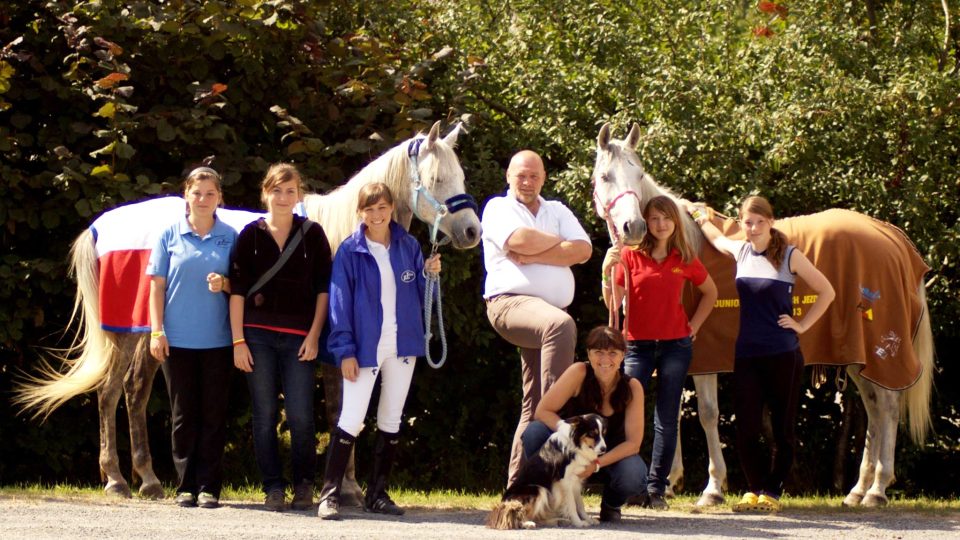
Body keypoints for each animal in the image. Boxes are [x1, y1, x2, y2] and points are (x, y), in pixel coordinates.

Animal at [15, 120, 480, 500]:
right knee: (111, 392)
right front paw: (346, 488)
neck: (343, 235)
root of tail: (100, 228)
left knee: (134, 391)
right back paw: (115, 479)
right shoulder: (338, 351)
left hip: (150, 336)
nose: (472, 231)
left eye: (460, 175)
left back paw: (147, 480)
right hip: (122, 332)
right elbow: (340, 411)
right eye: (436, 178)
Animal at [588, 122, 932, 506]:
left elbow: (706, 414)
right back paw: (858, 490)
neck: (679, 244)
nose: (634, 227)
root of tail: (893, 238)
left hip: (879, 353)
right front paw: (670, 481)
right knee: (874, 408)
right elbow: (671, 411)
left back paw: (876, 489)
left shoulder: (701, 354)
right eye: (605, 176)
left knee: (888, 406)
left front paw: (712, 488)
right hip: (858, 359)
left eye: (639, 173)